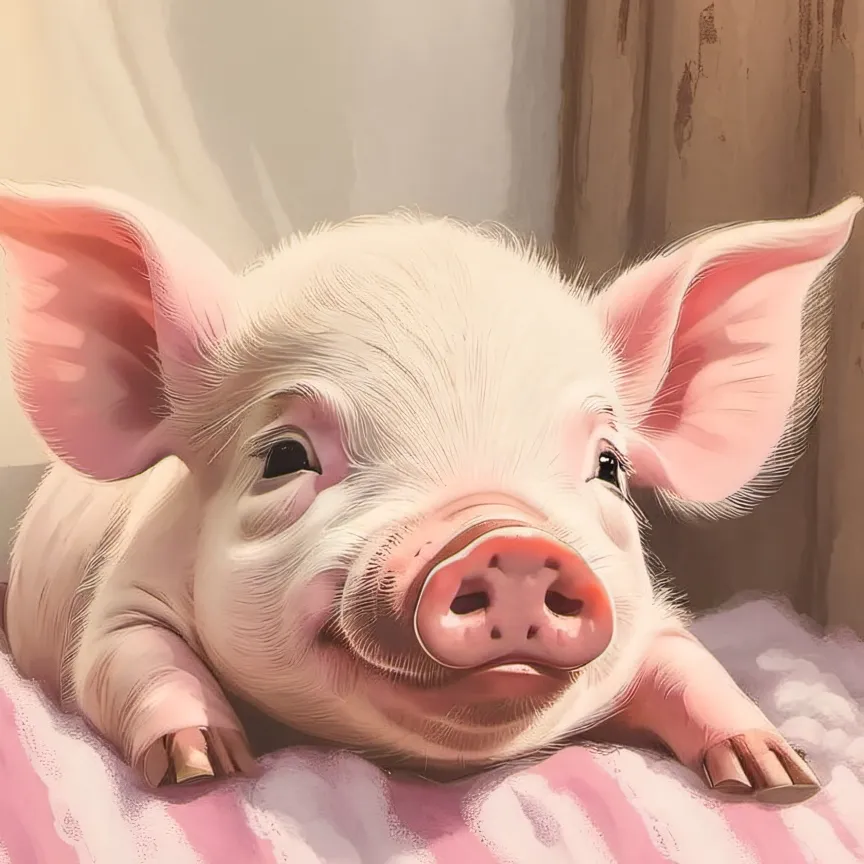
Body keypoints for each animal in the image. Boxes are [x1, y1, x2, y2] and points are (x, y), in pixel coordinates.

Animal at [0, 181, 859, 804]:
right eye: (284, 456)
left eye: (609, 465)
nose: (509, 541)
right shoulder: (123, 601)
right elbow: (131, 660)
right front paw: (203, 766)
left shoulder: (651, 617)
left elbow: (690, 663)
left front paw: (780, 775)